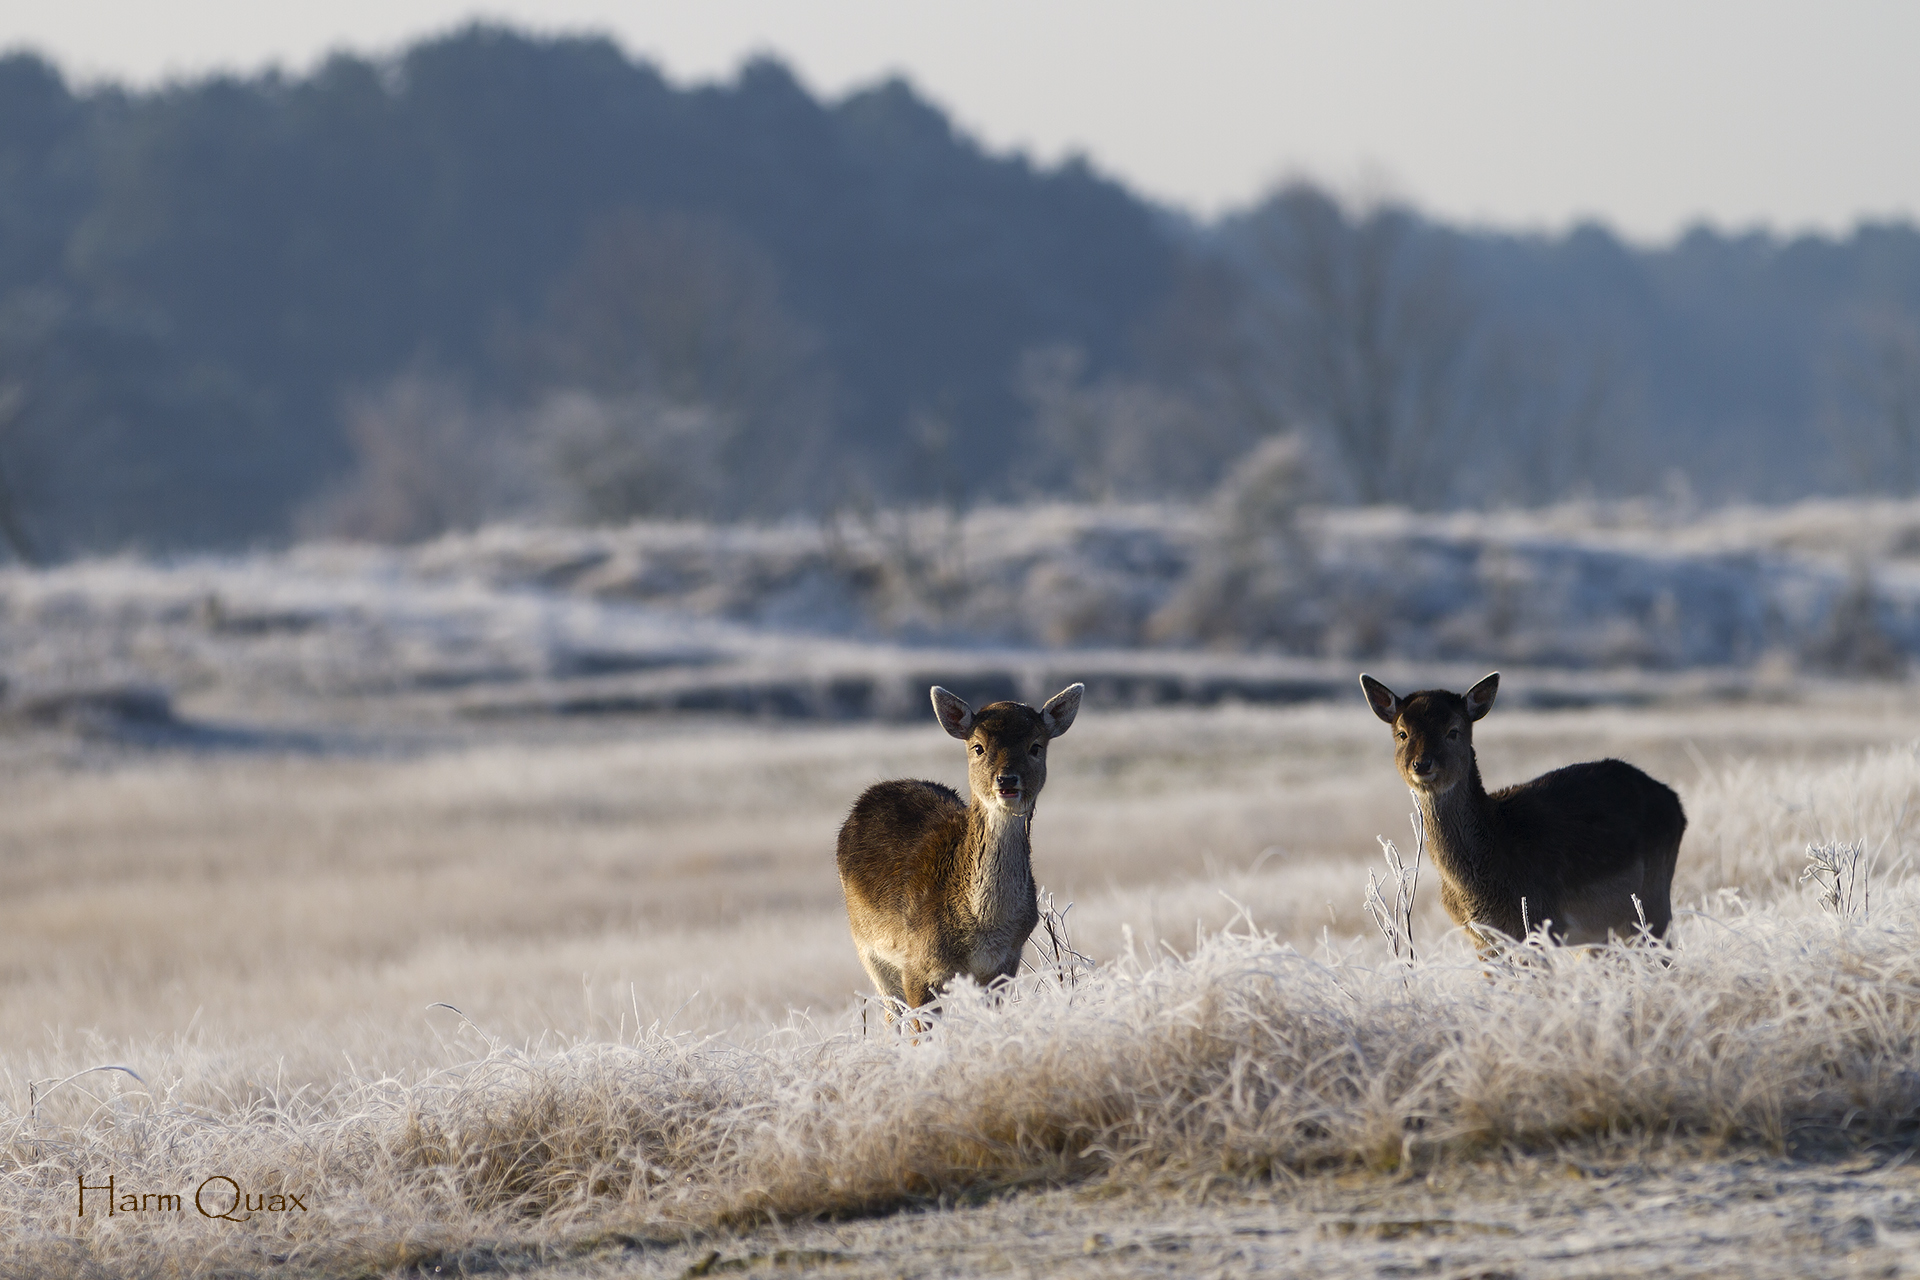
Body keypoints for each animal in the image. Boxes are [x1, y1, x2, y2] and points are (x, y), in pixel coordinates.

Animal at [836, 682, 1083, 1012]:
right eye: (978, 747)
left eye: (1036, 746)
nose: (1006, 780)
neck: (981, 926)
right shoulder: (915, 965)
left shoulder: (1005, 962)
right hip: (867, 947)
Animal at [1359, 672, 1685, 950]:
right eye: (1402, 733)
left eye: (1453, 731)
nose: (1422, 764)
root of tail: (1677, 805)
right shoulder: (1481, 940)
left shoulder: (1538, 922)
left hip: (1652, 903)